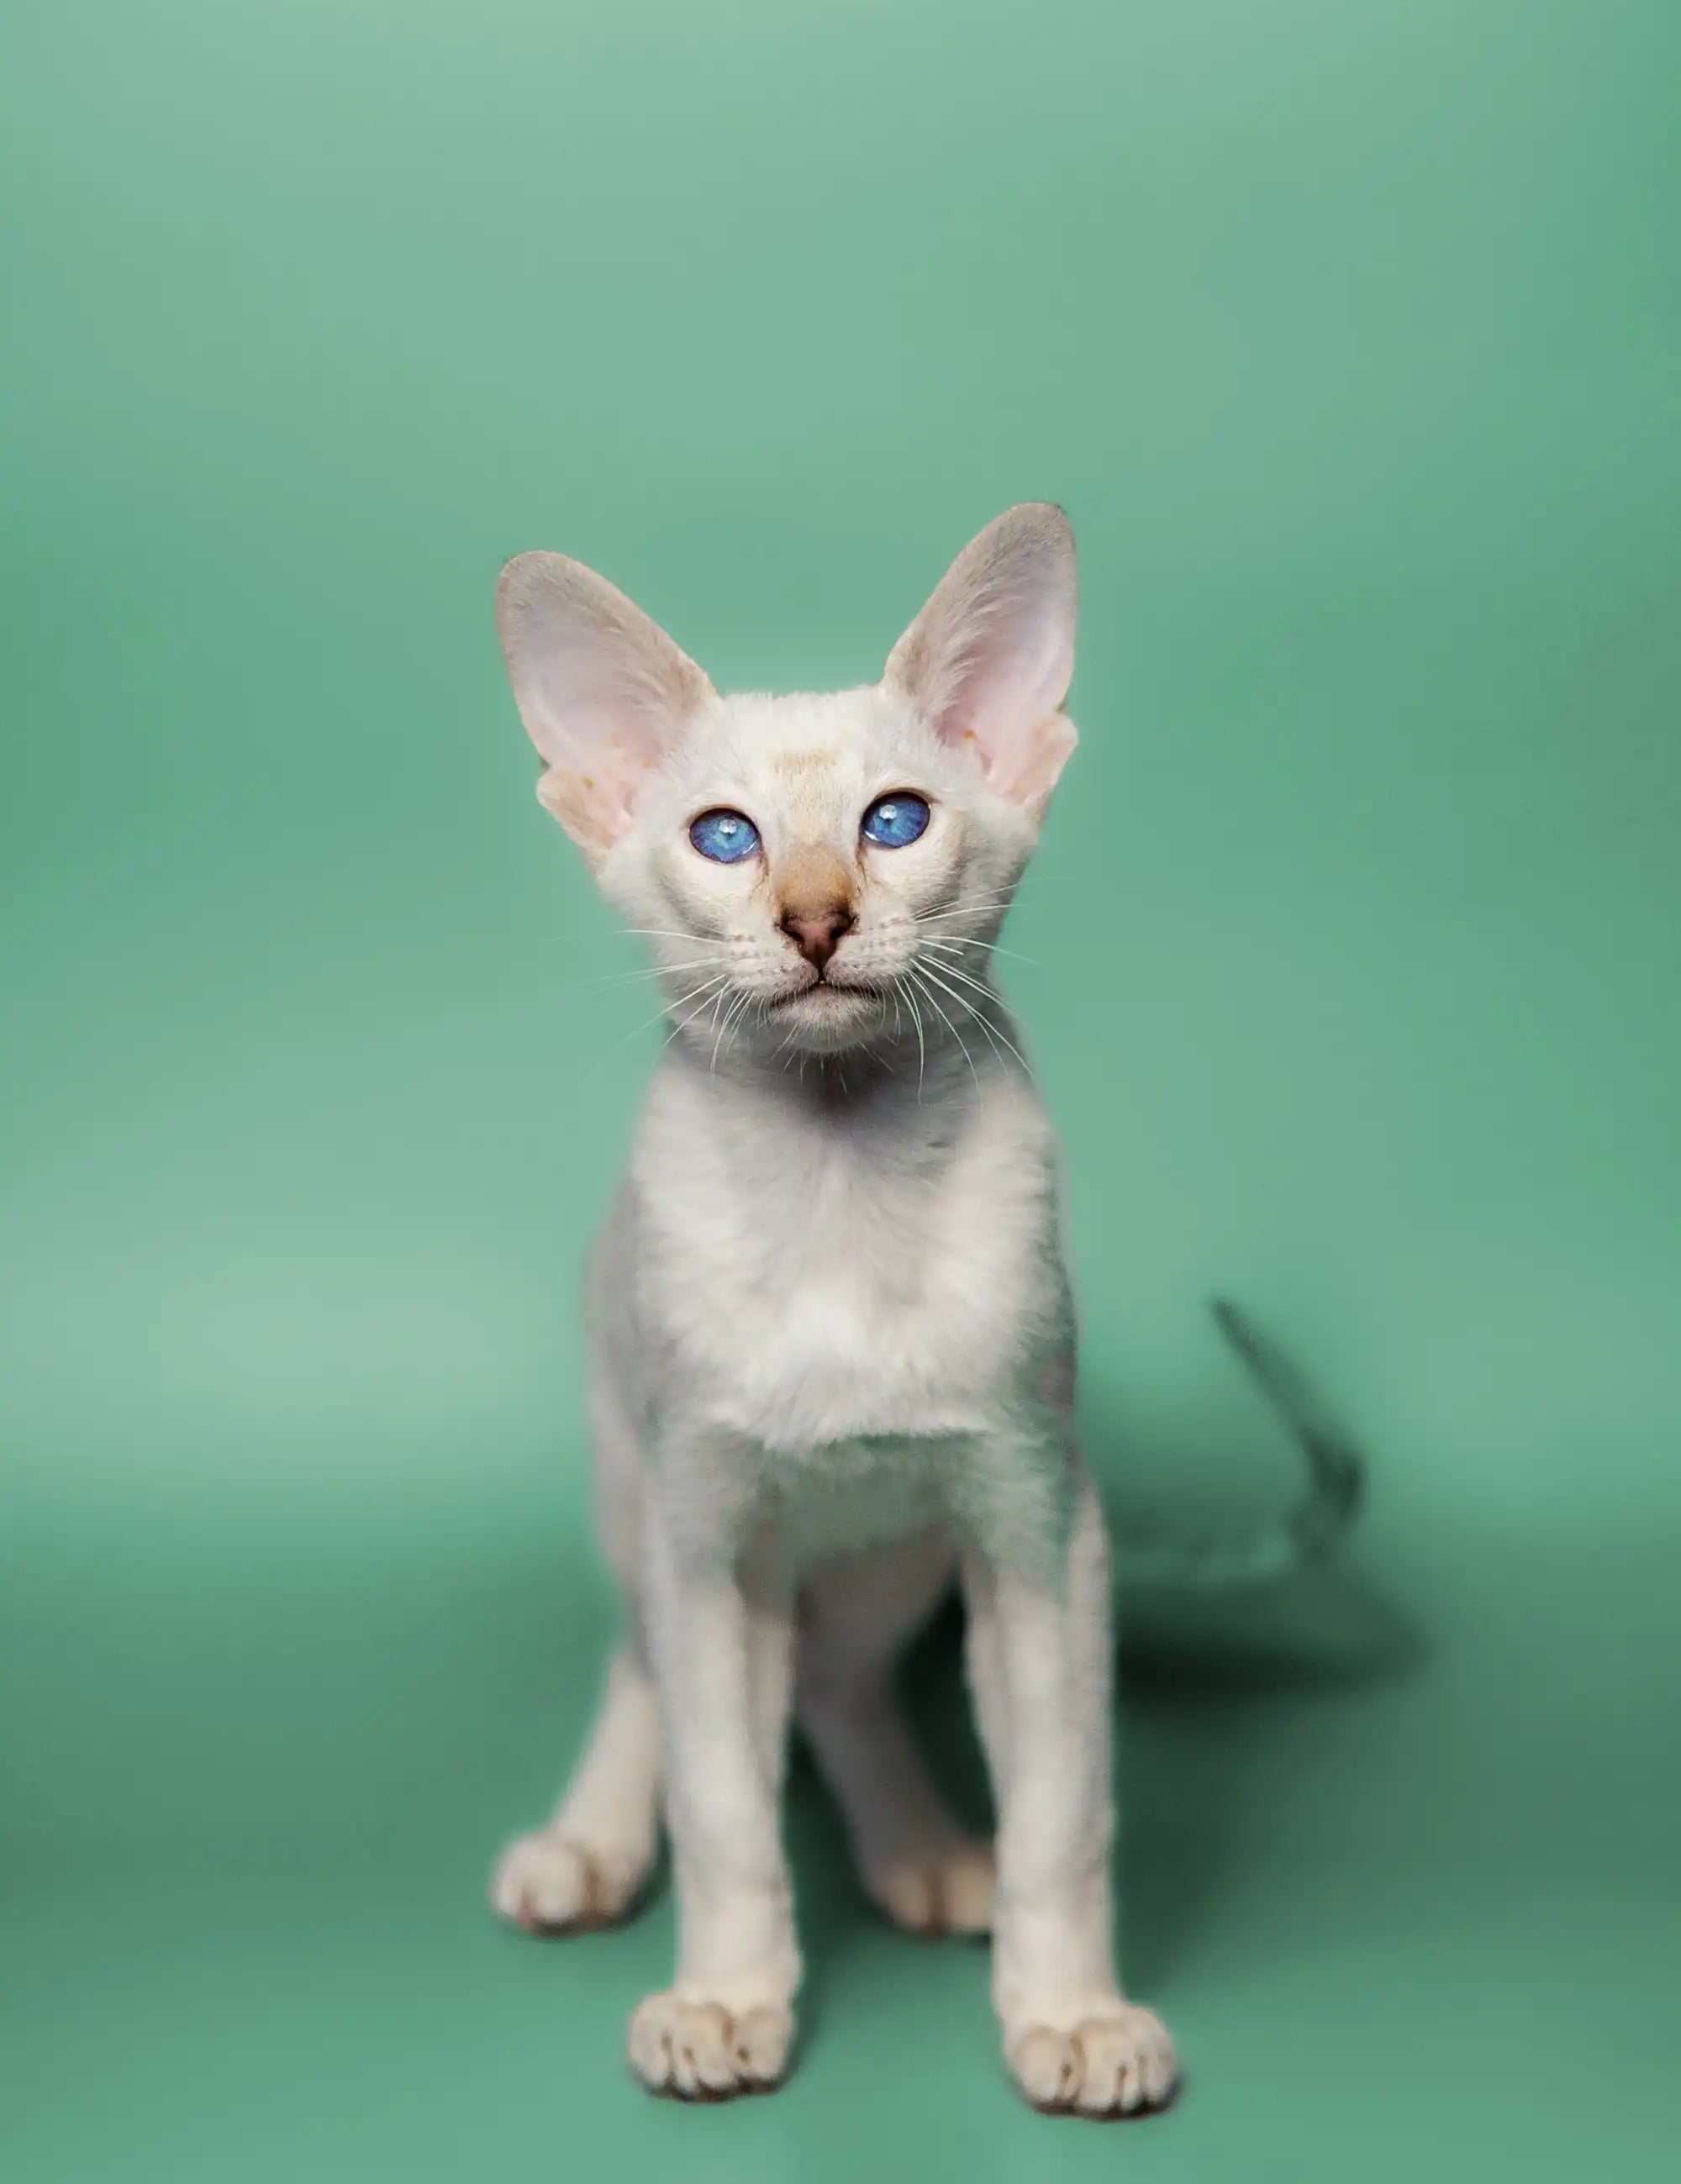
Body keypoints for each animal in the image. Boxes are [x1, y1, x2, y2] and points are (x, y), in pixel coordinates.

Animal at [491, 506, 1178, 2113]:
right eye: (724, 837)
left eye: (896, 821)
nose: (815, 918)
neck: (840, 1178)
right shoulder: (706, 1530)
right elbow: (726, 1811)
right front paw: (727, 1997)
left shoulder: (1036, 1522)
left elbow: (1066, 1810)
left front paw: (1070, 2013)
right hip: (647, 1499)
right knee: (655, 1673)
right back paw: (591, 1845)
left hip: (896, 1554)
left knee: (840, 1684)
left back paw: (924, 1851)